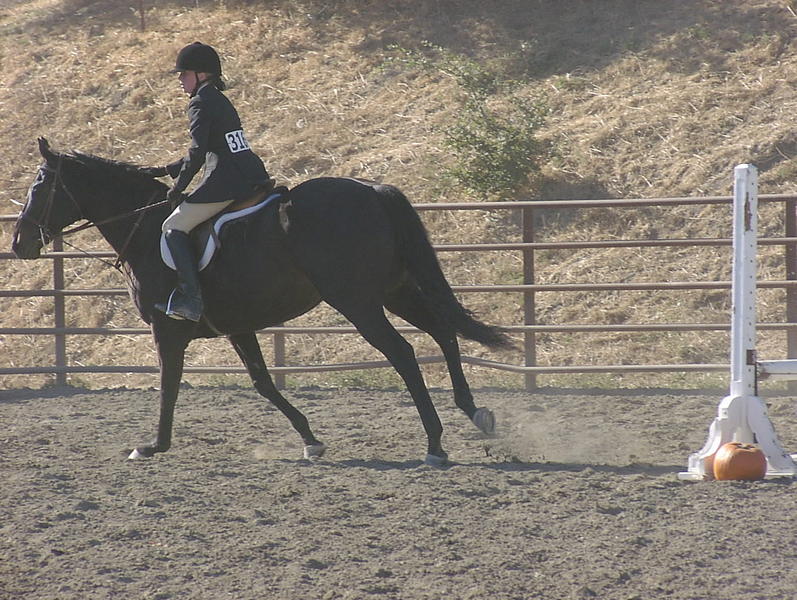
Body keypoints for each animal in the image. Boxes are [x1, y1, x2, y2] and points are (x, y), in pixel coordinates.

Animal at [12, 138, 513, 466]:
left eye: (39, 185)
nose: (19, 243)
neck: (146, 229)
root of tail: (372, 190)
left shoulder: (167, 329)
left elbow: (168, 385)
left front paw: (153, 445)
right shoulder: (238, 327)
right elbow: (263, 384)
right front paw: (311, 440)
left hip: (358, 301)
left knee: (404, 354)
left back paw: (435, 443)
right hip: (395, 290)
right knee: (443, 331)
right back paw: (476, 415)